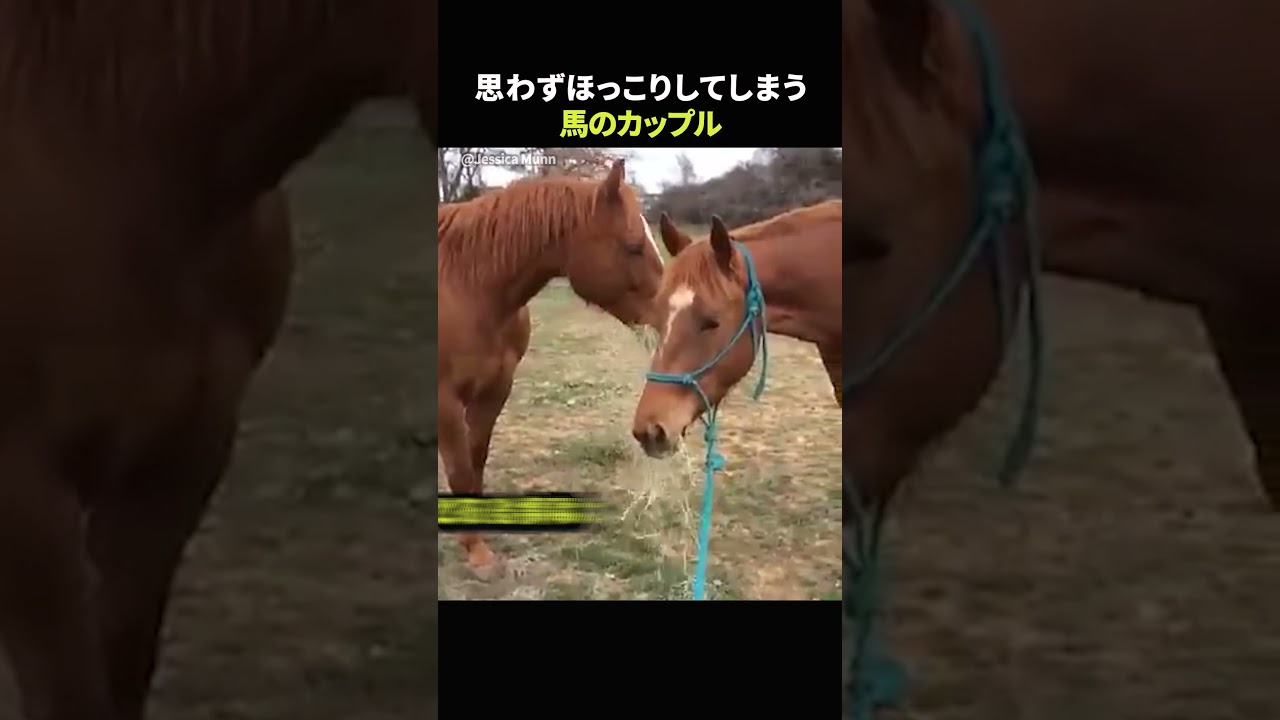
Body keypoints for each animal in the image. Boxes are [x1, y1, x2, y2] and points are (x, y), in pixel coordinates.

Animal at [437, 160, 688, 573]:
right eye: (634, 246)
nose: (669, 316)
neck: (468, 288)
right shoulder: (446, 400)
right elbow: (459, 467)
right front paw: (476, 551)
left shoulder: (495, 389)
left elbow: (475, 458)